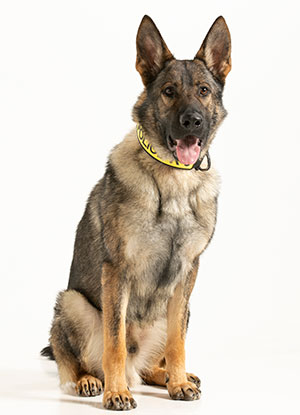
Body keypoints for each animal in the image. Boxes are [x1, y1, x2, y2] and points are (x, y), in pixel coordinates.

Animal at [41, 14, 231, 412]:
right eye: (169, 91)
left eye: (204, 90)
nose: (192, 121)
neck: (174, 181)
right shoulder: (117, 271)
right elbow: (114, 341)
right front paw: (115, 393)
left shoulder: (188, 273)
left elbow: (177, 342)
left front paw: (178, 382)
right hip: (71, 302)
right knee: (78, 362)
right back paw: (92, 381)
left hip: (180, 310)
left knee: (153, 363)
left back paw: (171, 376)